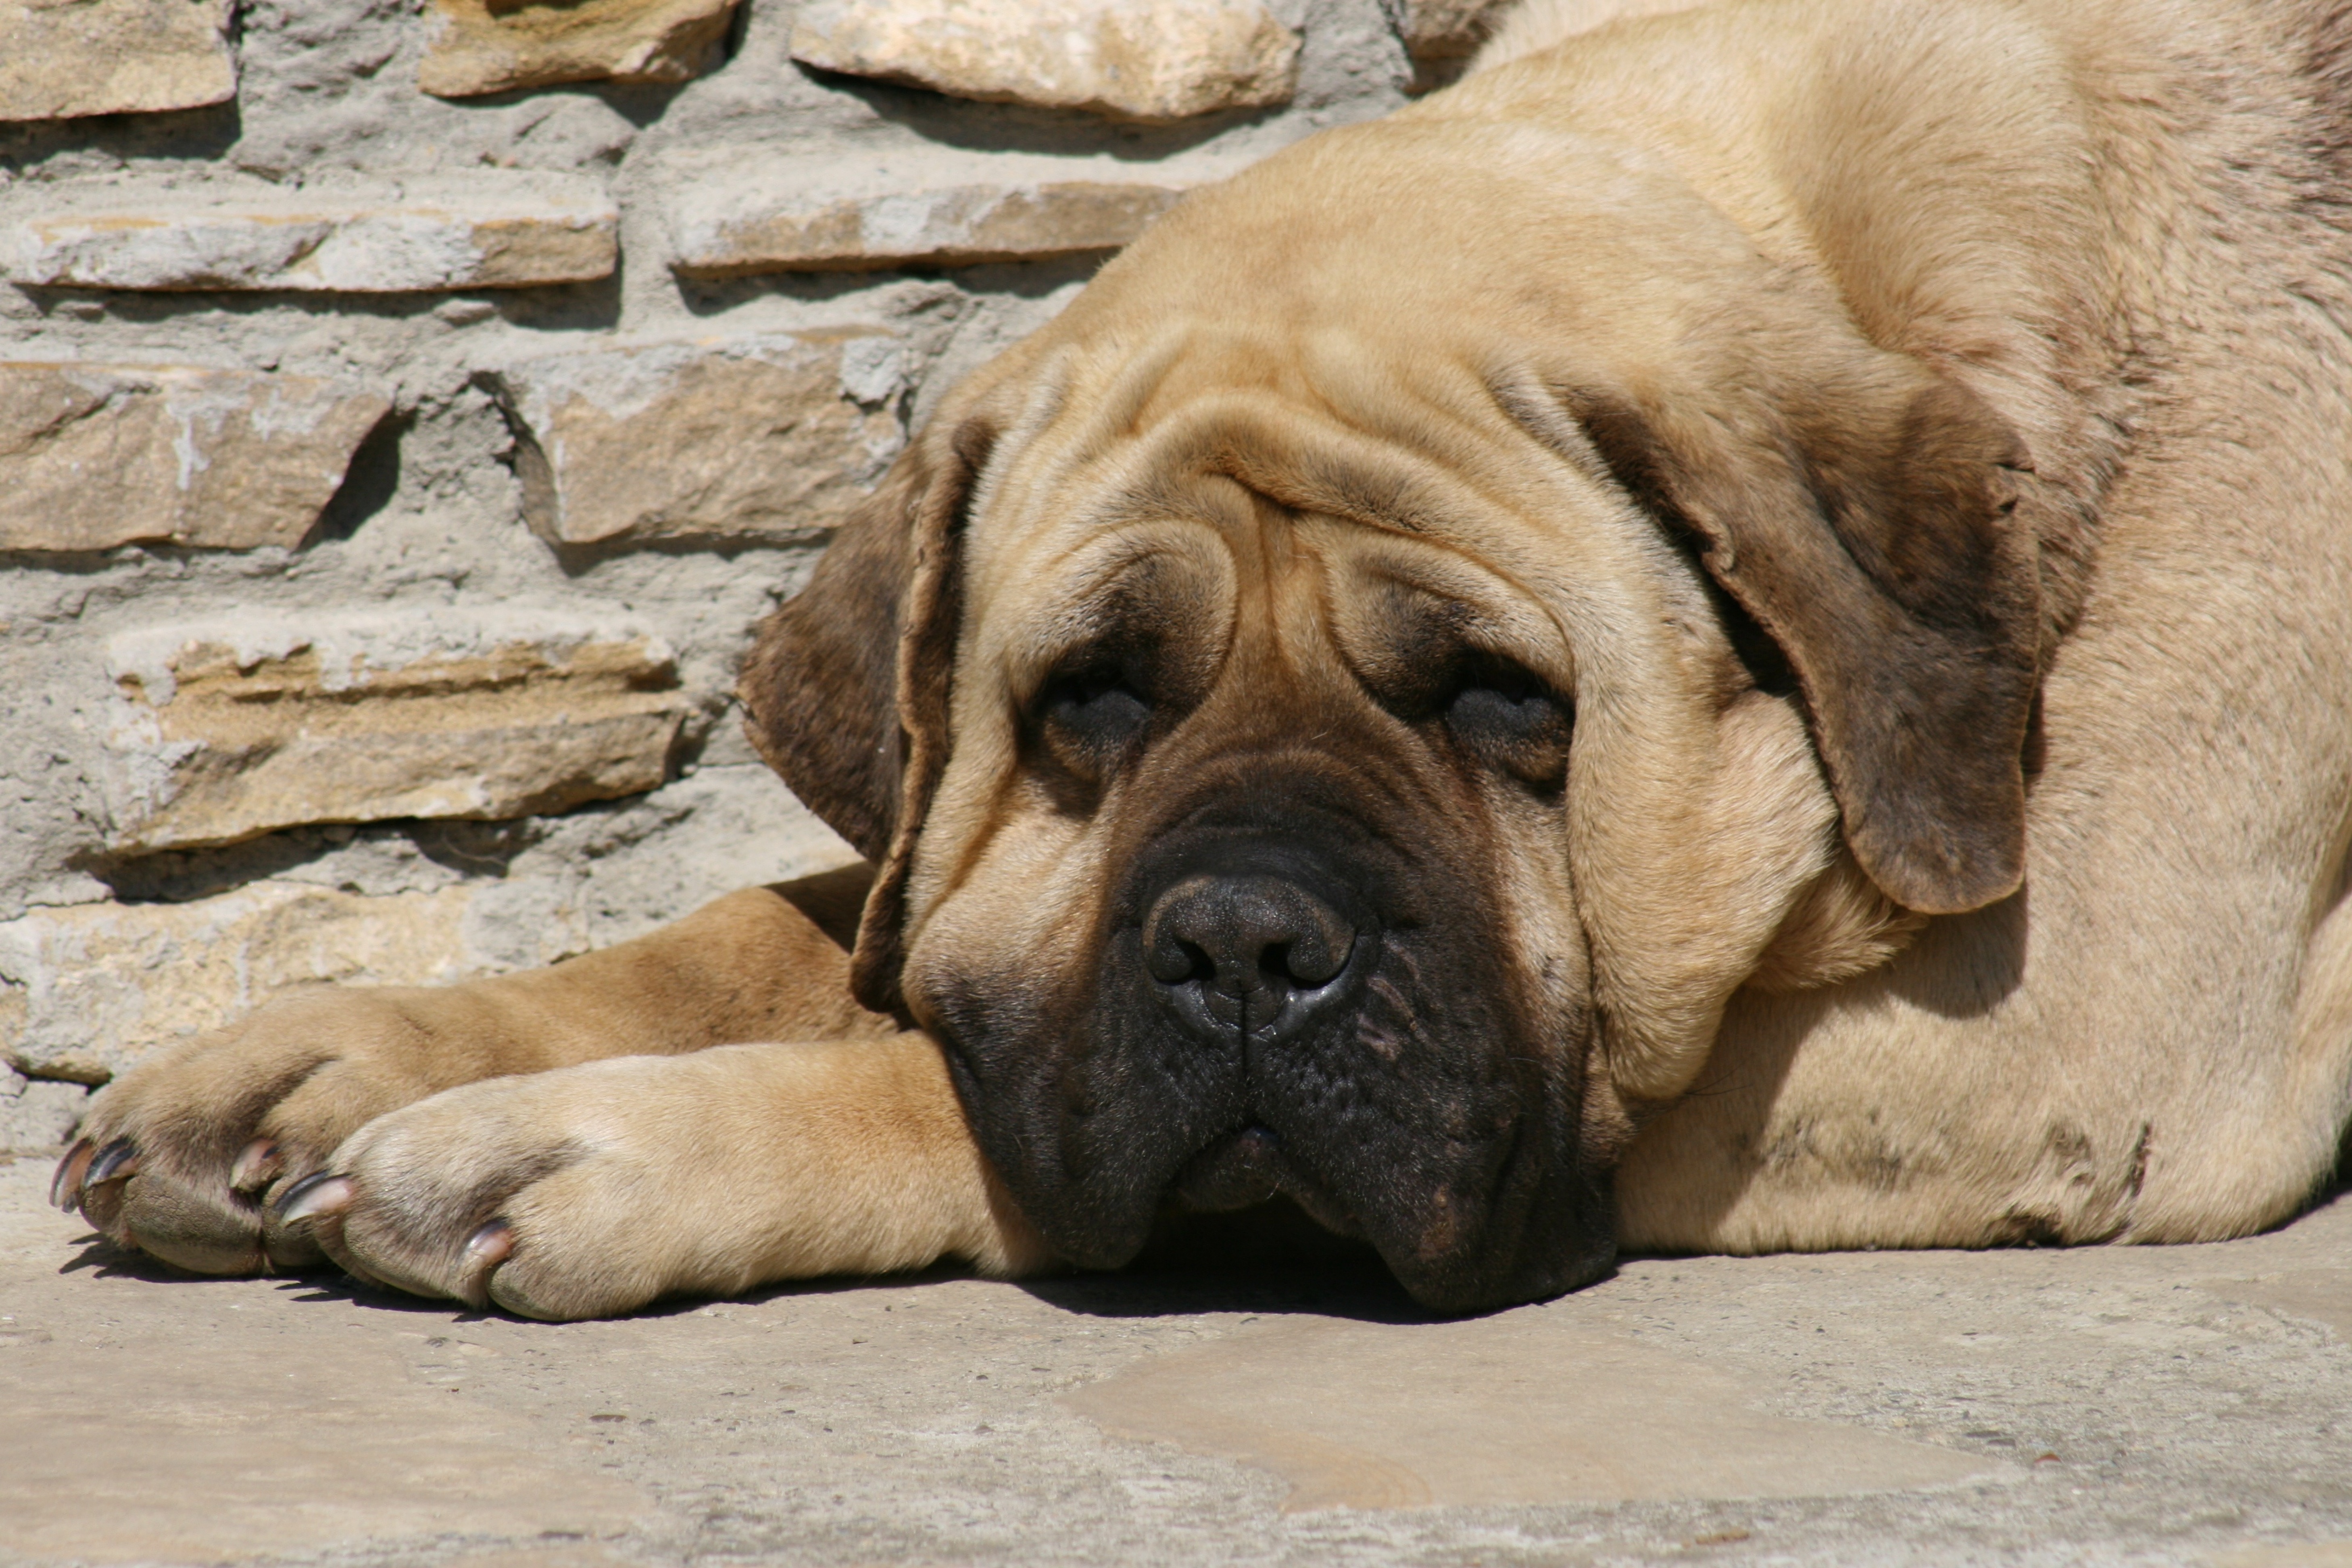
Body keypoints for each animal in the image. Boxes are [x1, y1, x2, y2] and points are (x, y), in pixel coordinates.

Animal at [50, 0, 2352, 1326]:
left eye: (1501, 701)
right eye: (1091, 702)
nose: (1247, 943)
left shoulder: (2070, 1035)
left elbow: (932, 1080)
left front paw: (583, 1146)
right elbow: (784, 925)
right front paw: (330, 1056)